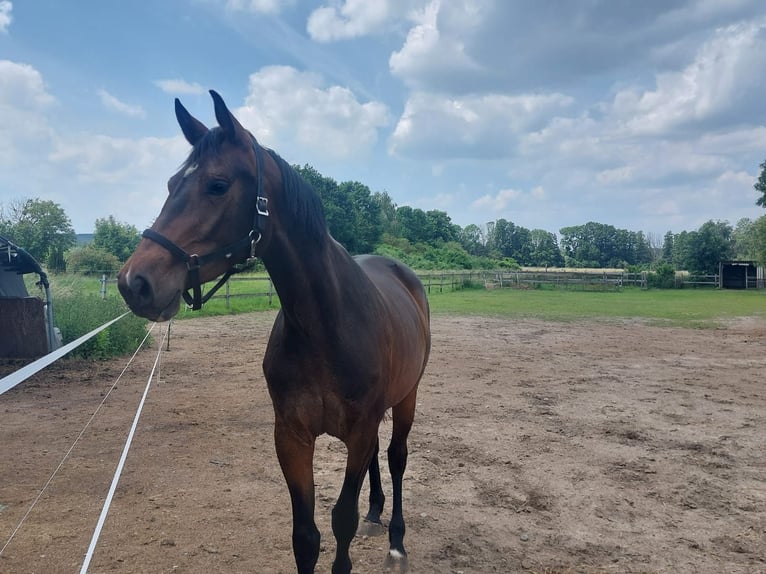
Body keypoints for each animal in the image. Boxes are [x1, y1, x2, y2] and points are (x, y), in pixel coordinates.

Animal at [118, 91, 432, 574]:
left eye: (217, 184)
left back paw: (396, 539)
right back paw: (376, 513)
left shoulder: (359, 430)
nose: (135, 282)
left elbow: (342, 520)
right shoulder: (291, 436)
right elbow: (305, 536)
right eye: (171, 184)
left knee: (396, 458)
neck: (326, 325)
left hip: (407, 397)